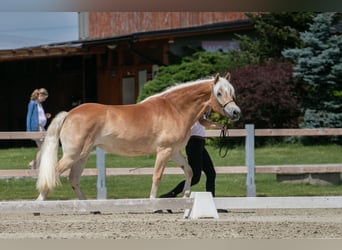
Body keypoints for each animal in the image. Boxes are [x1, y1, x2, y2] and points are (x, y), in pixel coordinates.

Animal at [35, 72, 240, 201]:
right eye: (219, 93)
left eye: (233, 92)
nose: (236, 112)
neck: (175, 109)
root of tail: (70, 114)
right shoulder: (164, 151)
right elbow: (157, 176)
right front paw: (153, 202)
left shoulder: (174, 152)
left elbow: (189, 171)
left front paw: (186, 195)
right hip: (73, 155)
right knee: (53, 174)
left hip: (82, 156)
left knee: (73, 179)